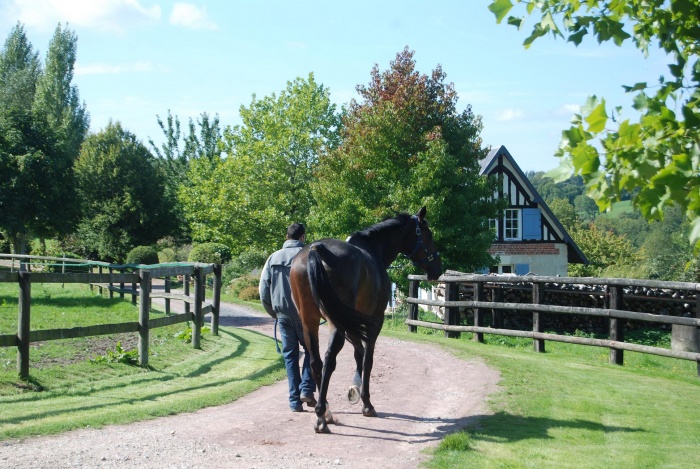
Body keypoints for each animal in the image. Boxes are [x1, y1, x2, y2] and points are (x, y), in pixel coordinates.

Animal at [290, 207, 442, 434]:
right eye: (428, 235)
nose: (437, 268)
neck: (373, 250)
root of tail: (316, 250)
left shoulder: (352, 321)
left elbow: (358, 354)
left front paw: (354, 389)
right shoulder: (374, 321)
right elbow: (367, 359)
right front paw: (367, 403)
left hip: (310, 320)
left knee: (316, 362)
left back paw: (326, 412)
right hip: (335, 324)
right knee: (329, 360)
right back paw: (321, 417)